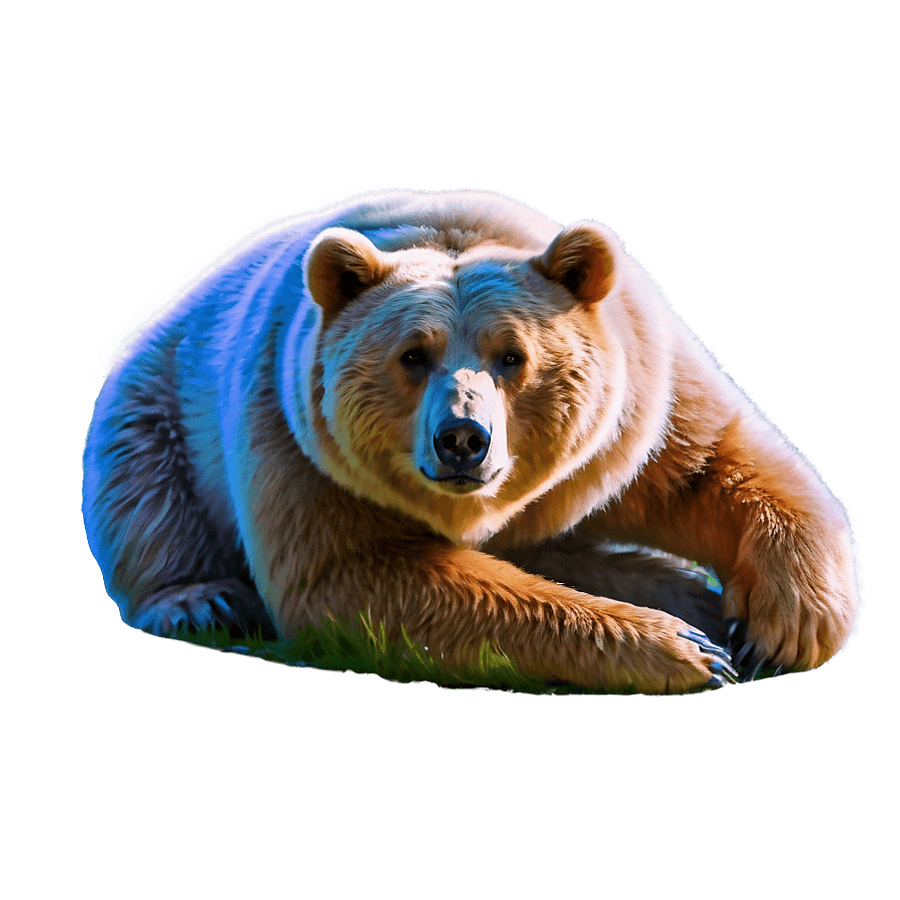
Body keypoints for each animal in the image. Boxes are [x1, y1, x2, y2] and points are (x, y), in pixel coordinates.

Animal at [82, 186, 863, 693]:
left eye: (512, 355)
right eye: (412, 355)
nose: (463, 437)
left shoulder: (635, 405)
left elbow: (713, 464)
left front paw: (779, 627)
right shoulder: (296, 438)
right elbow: (358, 576)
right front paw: (683, 649)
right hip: (159, 401)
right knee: (146, 492)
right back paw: (202, 600)